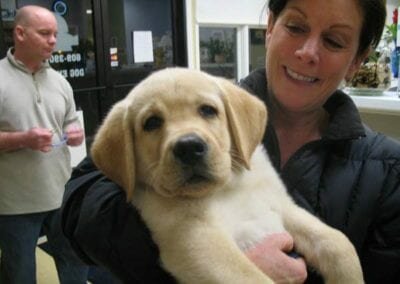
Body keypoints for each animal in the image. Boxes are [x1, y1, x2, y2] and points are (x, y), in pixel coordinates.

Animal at [92, 67, 364, 284]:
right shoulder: (195, 237)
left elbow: (338, 242)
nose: (188, 146)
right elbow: (253, 279)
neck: (227, 187)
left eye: (208, 110)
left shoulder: (283, 207)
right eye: (151, 123)